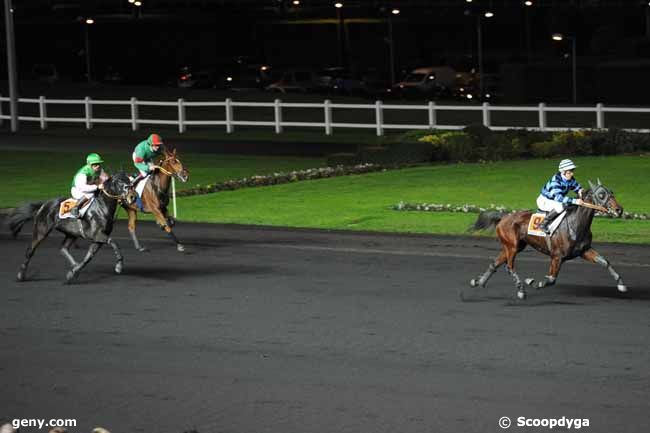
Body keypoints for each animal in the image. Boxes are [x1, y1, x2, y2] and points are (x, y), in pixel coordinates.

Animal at [7, 170, 137, 282]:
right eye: (119, 181)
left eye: (129, 181)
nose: (132, 197)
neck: (102, 207)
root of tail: (44, 205)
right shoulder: (97, 235)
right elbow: (114, 243)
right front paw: (119, 266)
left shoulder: (98, 239)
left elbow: (88, 257)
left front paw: (73, 272)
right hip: (41, 230)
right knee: (30, 250)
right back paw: (21, 275)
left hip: (71, 234)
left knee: (63, 249)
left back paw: (74, 266)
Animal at [468, 179, 624, 300]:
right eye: (601, 195)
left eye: (612, 192)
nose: (619, 210)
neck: (575, 224)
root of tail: (504, 216)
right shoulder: (557, 256)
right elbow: (551, 279)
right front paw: (532, 282)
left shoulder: (583, 251)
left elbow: (605, 262)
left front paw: (621, 284)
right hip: (512, 247)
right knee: (509, 266)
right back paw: (521, 290)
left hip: (513, 246)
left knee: (495, 263)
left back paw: (479, 282)